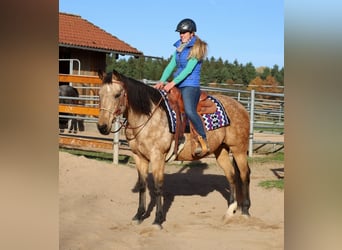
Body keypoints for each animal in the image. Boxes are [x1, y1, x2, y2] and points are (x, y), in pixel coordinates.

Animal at [96, 69, 251, 228]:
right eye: (99, 94)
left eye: (117, 94)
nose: (102, 127)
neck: (148, 117)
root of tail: (241, 107)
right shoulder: (139, 157)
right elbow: (142, 186)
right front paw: (139, 215)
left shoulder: (157, 157)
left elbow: (158, 187)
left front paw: (158, 220)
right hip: (221, 151)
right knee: (231, 175)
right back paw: (230, 211)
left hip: (238, 150)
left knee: (244, 175)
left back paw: (245, 210)